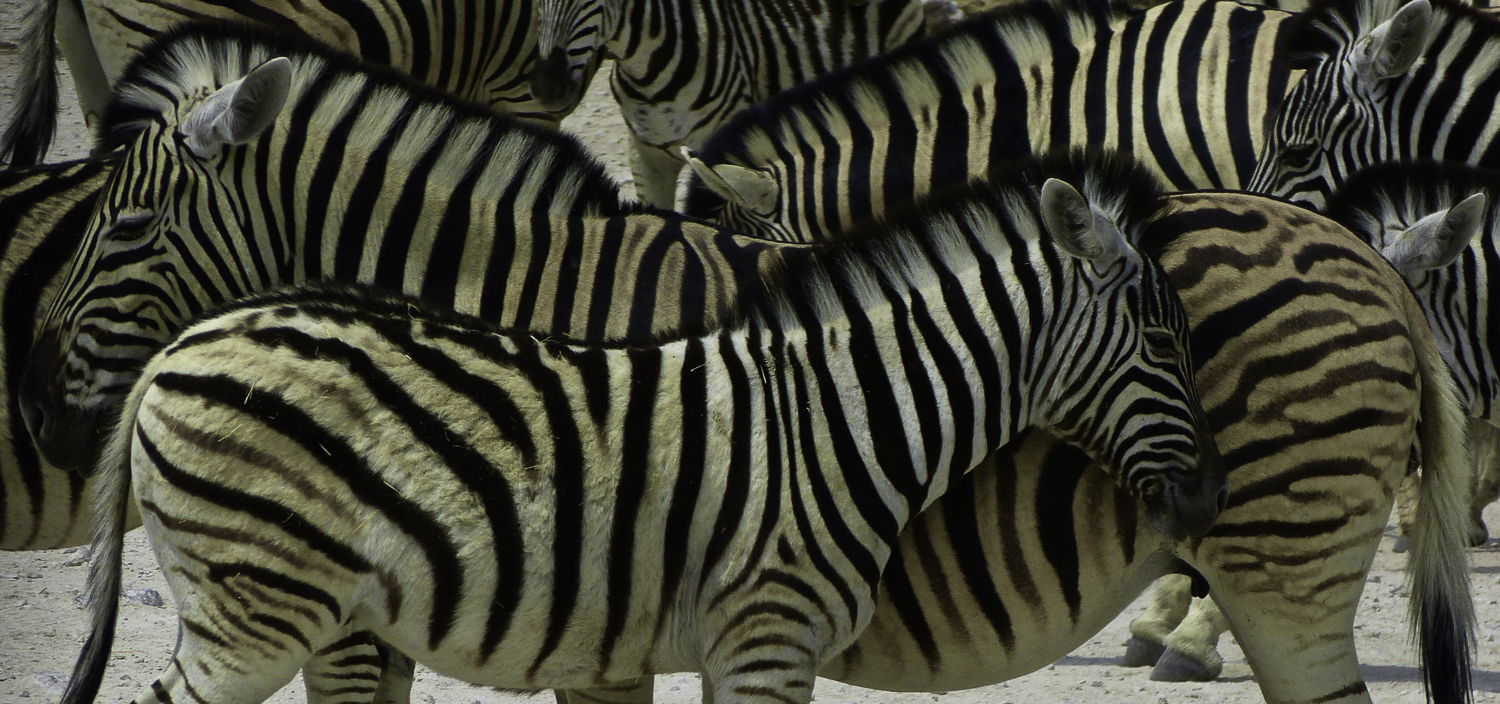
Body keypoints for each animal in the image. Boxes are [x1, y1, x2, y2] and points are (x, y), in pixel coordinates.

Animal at [57, 158, 1227, 704]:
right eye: (1163, 342)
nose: (1210, 496)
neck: (844, 418)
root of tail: (181, 343)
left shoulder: (729, 646)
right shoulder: (768, 632)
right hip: (256, 610)